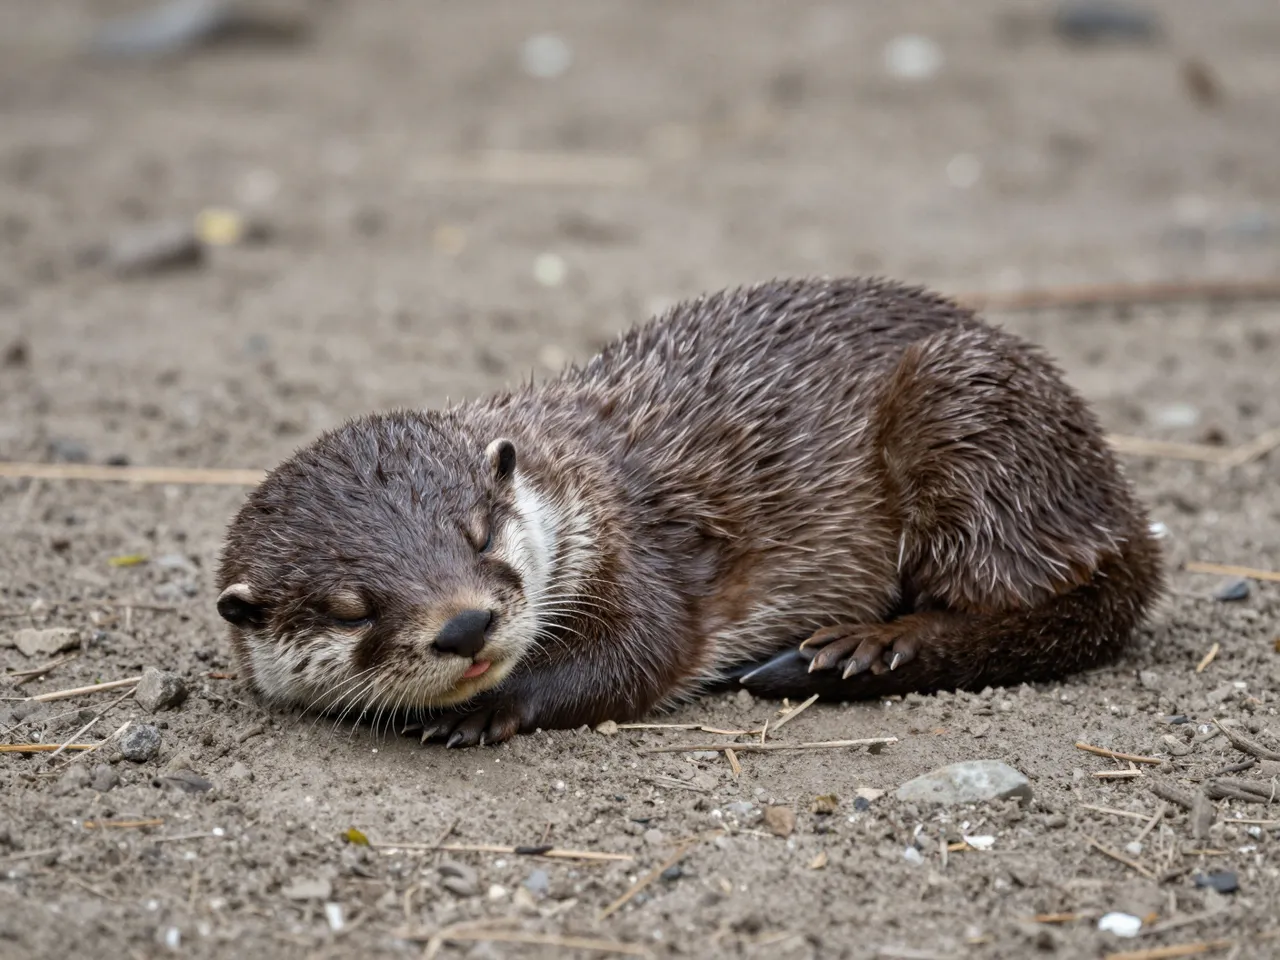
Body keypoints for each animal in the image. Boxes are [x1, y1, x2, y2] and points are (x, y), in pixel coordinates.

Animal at [215, 277, 1163, 747]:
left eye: (478, 535)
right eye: (352, 609)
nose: (464, 625)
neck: (578, 477)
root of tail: (1113, 495)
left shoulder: (638, 553)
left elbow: (644, 653)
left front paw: (488, 709)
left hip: (963, 407)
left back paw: (865, 647)